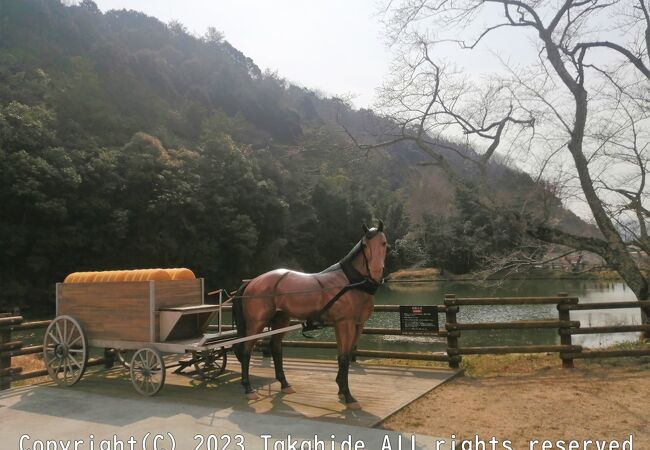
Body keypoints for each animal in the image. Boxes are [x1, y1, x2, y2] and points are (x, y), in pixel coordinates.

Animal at [232, 221, 384, 408]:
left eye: (384, 243)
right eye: (365, 245)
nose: (376, 271)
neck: (351, 283)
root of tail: (252, 282)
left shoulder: (357, 325)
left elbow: (346, 357)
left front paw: (341, 390)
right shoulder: (345, 323)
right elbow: (343, 358)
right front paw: (349, 396)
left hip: (281, 319)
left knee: (276, 348)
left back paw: (284, 384)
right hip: (257, 322)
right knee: (246, 350)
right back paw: (248, 389)